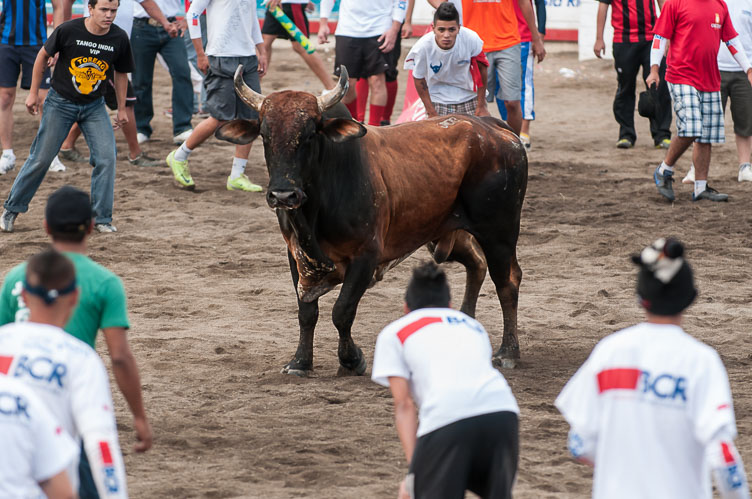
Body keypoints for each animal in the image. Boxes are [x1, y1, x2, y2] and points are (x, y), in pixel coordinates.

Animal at [216, 66, 528, 376]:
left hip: (499, 232)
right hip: (447, 234)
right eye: (264, 135)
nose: (283, 194)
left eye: (310, 134)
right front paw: (300, 362)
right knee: (477, 264)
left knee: (507, 281)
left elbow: (342, 311)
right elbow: (307, 312)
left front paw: (352, 360)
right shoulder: (296, 255)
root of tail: (492, 127)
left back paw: (509, 351)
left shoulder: (366, 255)